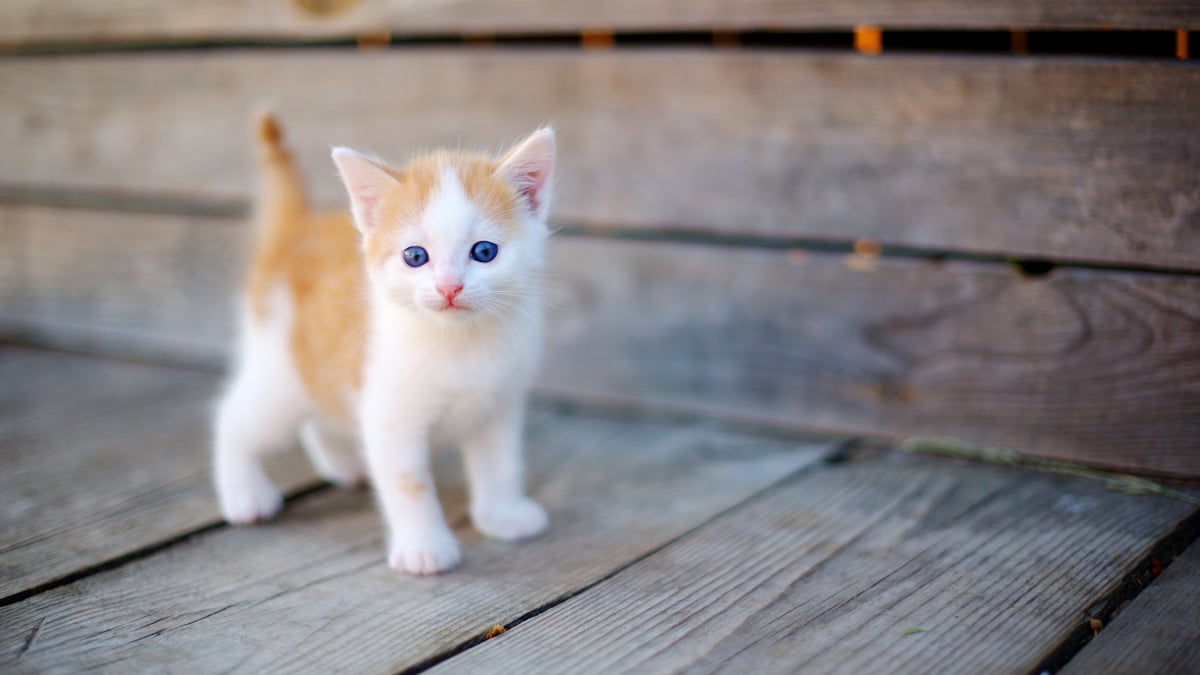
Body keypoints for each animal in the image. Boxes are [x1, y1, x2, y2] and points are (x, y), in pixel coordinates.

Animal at [213, 111, 554, 571]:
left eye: (484, 252)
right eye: (415, 257)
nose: (449, 287)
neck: (460, 342)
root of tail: (297, 229)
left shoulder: (498, 405)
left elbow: (500, 465)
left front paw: (503, 515)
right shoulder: (390, 415)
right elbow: (408, 483)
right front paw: (424, 548)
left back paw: (342, 463)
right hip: (280, 369)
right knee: (233, 418)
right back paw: (244, 493)